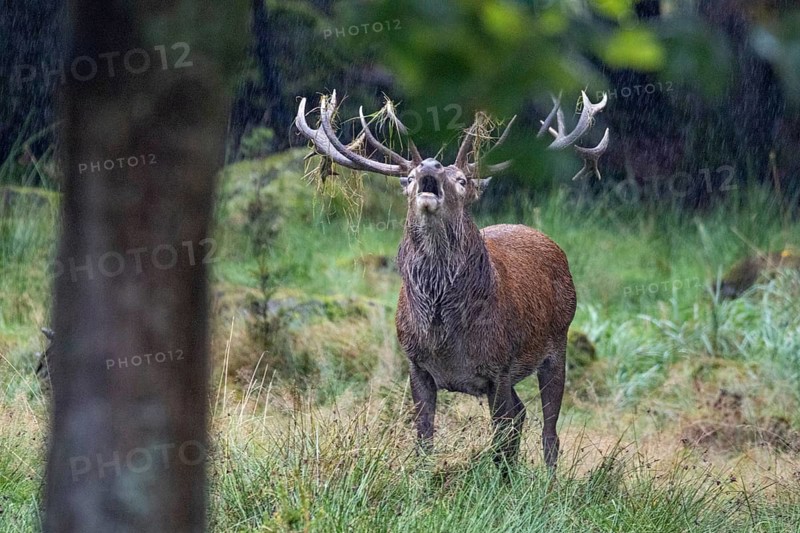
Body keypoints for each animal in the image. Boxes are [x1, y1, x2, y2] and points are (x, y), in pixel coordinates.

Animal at [295, 91, 608, 471]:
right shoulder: (417, 365)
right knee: (521, 416)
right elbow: (424, 437)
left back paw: (548, 480)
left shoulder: (499, 368)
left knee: (549, 431)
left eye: (461, 180)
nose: (430, 166)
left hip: (557, 343)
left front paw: (501, 482)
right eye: (411, 177)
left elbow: (500, 441)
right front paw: (423, 477)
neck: (444, 334)